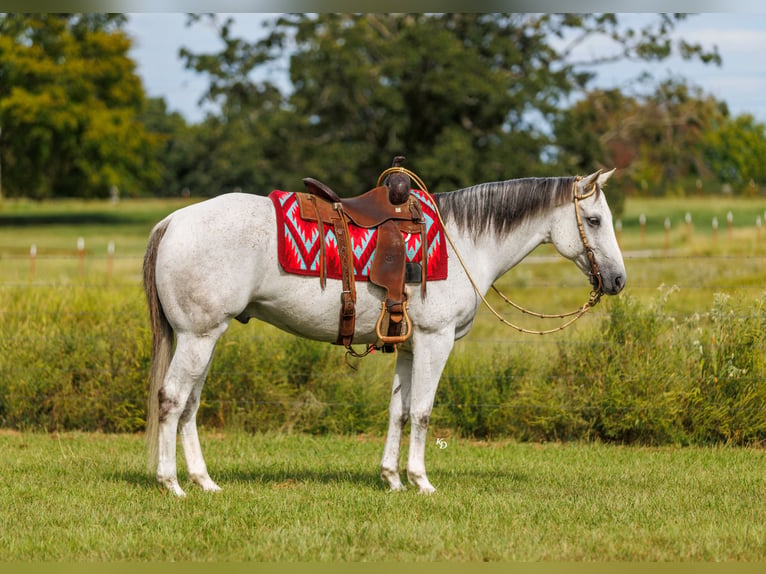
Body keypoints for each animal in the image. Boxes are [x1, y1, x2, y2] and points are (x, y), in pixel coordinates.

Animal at [143, 168, 626, 496]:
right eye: (595, 220)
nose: (618, 280)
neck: (464, 242)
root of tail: (173, 221)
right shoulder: (435, 339)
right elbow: (424, 412)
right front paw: (421, 480)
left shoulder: (409, 346)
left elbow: (400, 411)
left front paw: (392, 479)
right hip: (198, 337)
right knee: (171, 400)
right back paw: (172, 483)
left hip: (206, 338)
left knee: (190, 405)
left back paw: (204, 481)